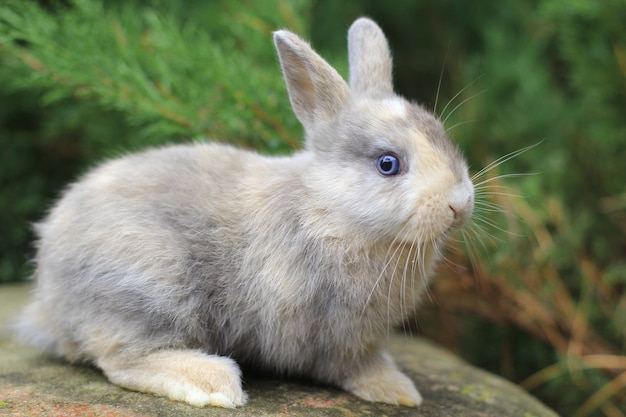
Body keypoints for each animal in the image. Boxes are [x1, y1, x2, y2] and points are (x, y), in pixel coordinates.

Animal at [15, 17, 472, 408]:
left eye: (443, 136)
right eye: (387, 164)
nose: (460, 202)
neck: (330, 212)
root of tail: (50, 297)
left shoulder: (360, 342)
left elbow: (364, 367)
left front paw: (399, 391)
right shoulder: (335, 333)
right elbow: (343, 365)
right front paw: (398, 391)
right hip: (149, 283)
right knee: (121, 358)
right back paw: (213, 383)